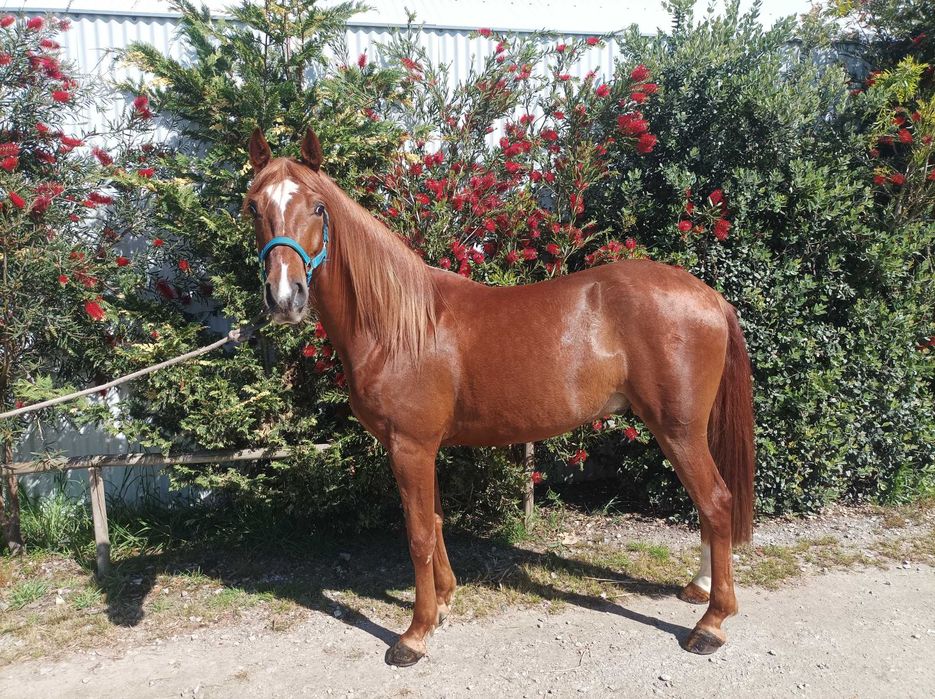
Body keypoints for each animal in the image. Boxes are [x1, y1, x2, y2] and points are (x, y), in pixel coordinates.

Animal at [244, 127, 755, 667]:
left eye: (318, 207)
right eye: (253, 207)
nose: (285, 297)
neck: (401, 326)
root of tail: (709, 296)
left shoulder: (410, 447)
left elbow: (418, 534)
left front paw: (415, 634)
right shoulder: (421, 448)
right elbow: (436, 520)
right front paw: (445, 599)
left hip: (678, 429)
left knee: (716, 502)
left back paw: (711, 624)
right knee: (708, 506)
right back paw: (699, 589)